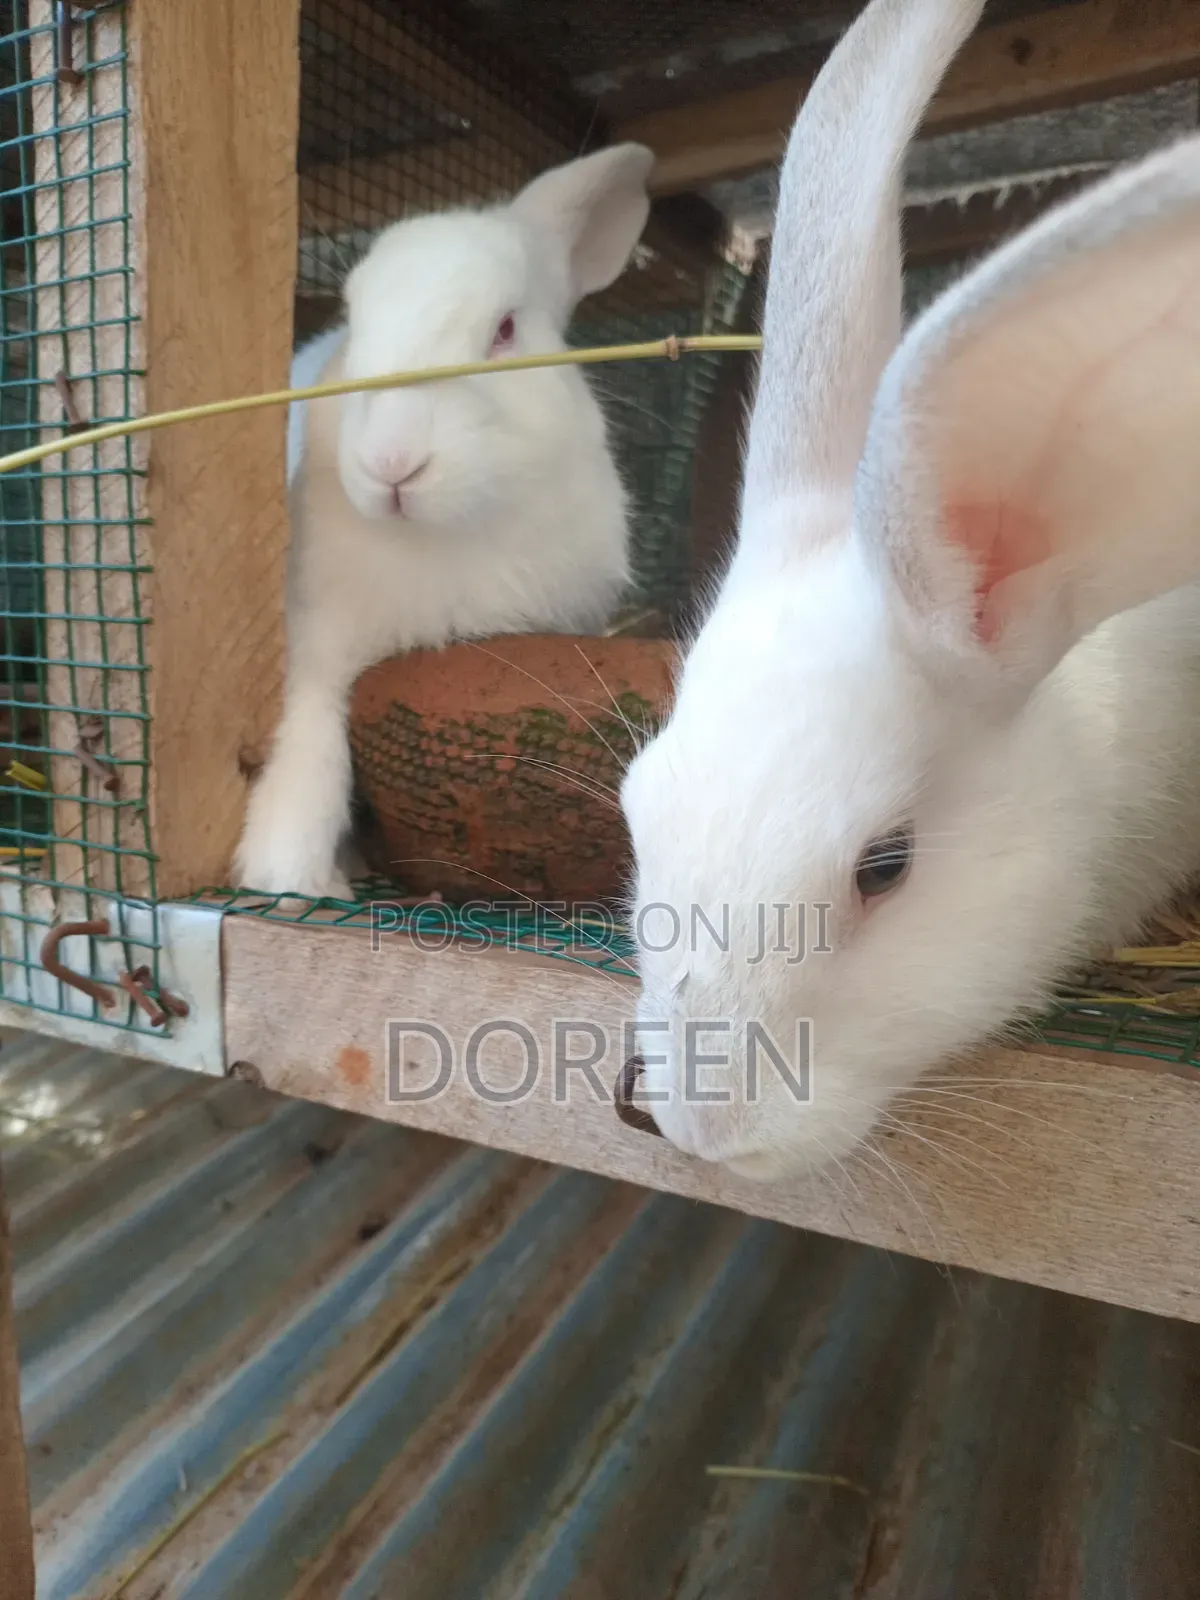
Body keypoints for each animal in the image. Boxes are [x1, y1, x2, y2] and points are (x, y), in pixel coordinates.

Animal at [236, 144, 653, 899]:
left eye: (506, 329)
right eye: (353, 319)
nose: (391, 462)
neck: (444, 536)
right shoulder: (316, 644)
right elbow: (310, 739)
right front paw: (294, 876)